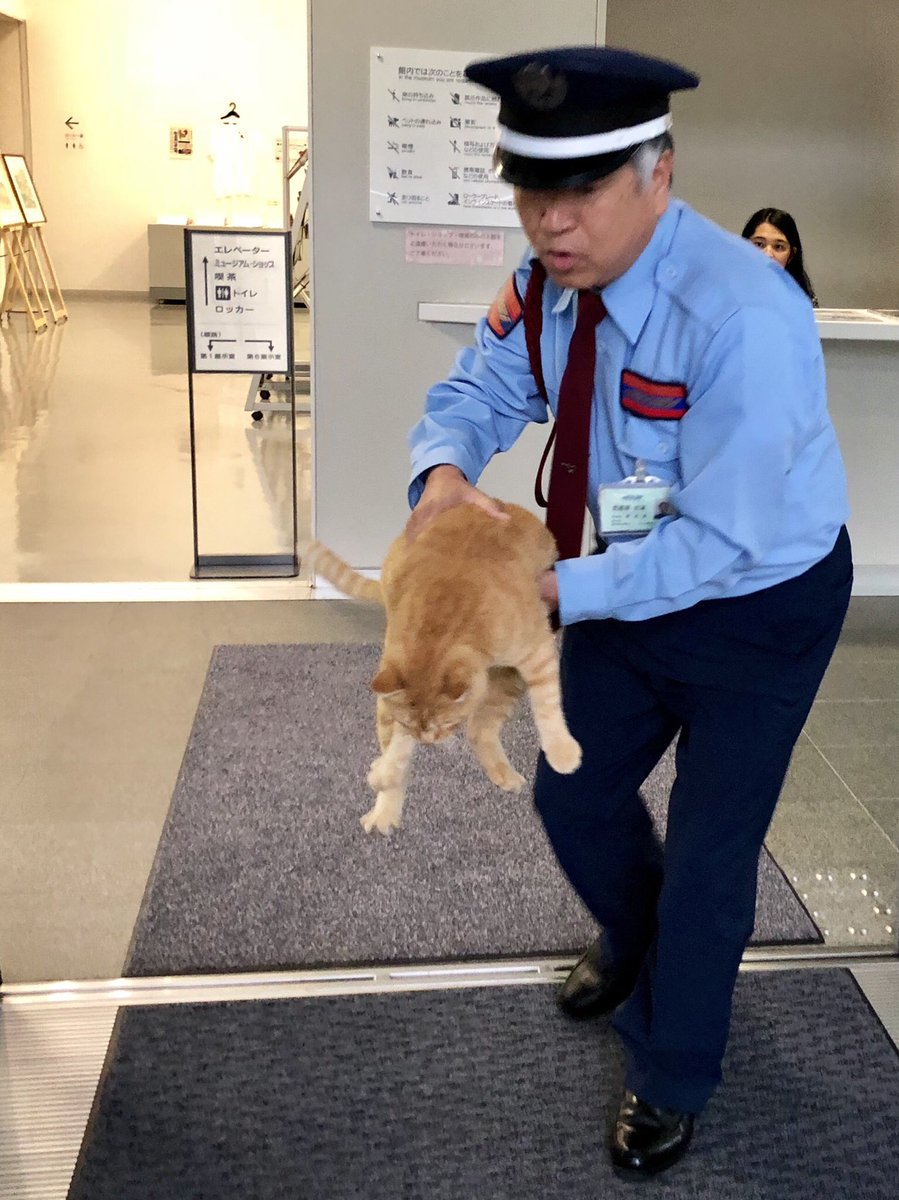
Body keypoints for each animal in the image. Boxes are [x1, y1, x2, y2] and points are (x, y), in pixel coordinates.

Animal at [301, 499, 583, 835]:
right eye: (417, 727)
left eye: (446, 724)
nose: (428, 741)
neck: (445, 613)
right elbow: (398, 748)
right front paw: (386, 773)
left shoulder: (537, 652)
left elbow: (548, 707)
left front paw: (562, 752)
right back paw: (384, 806)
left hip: (508, 679)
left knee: (478, 729)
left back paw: (505, 775)